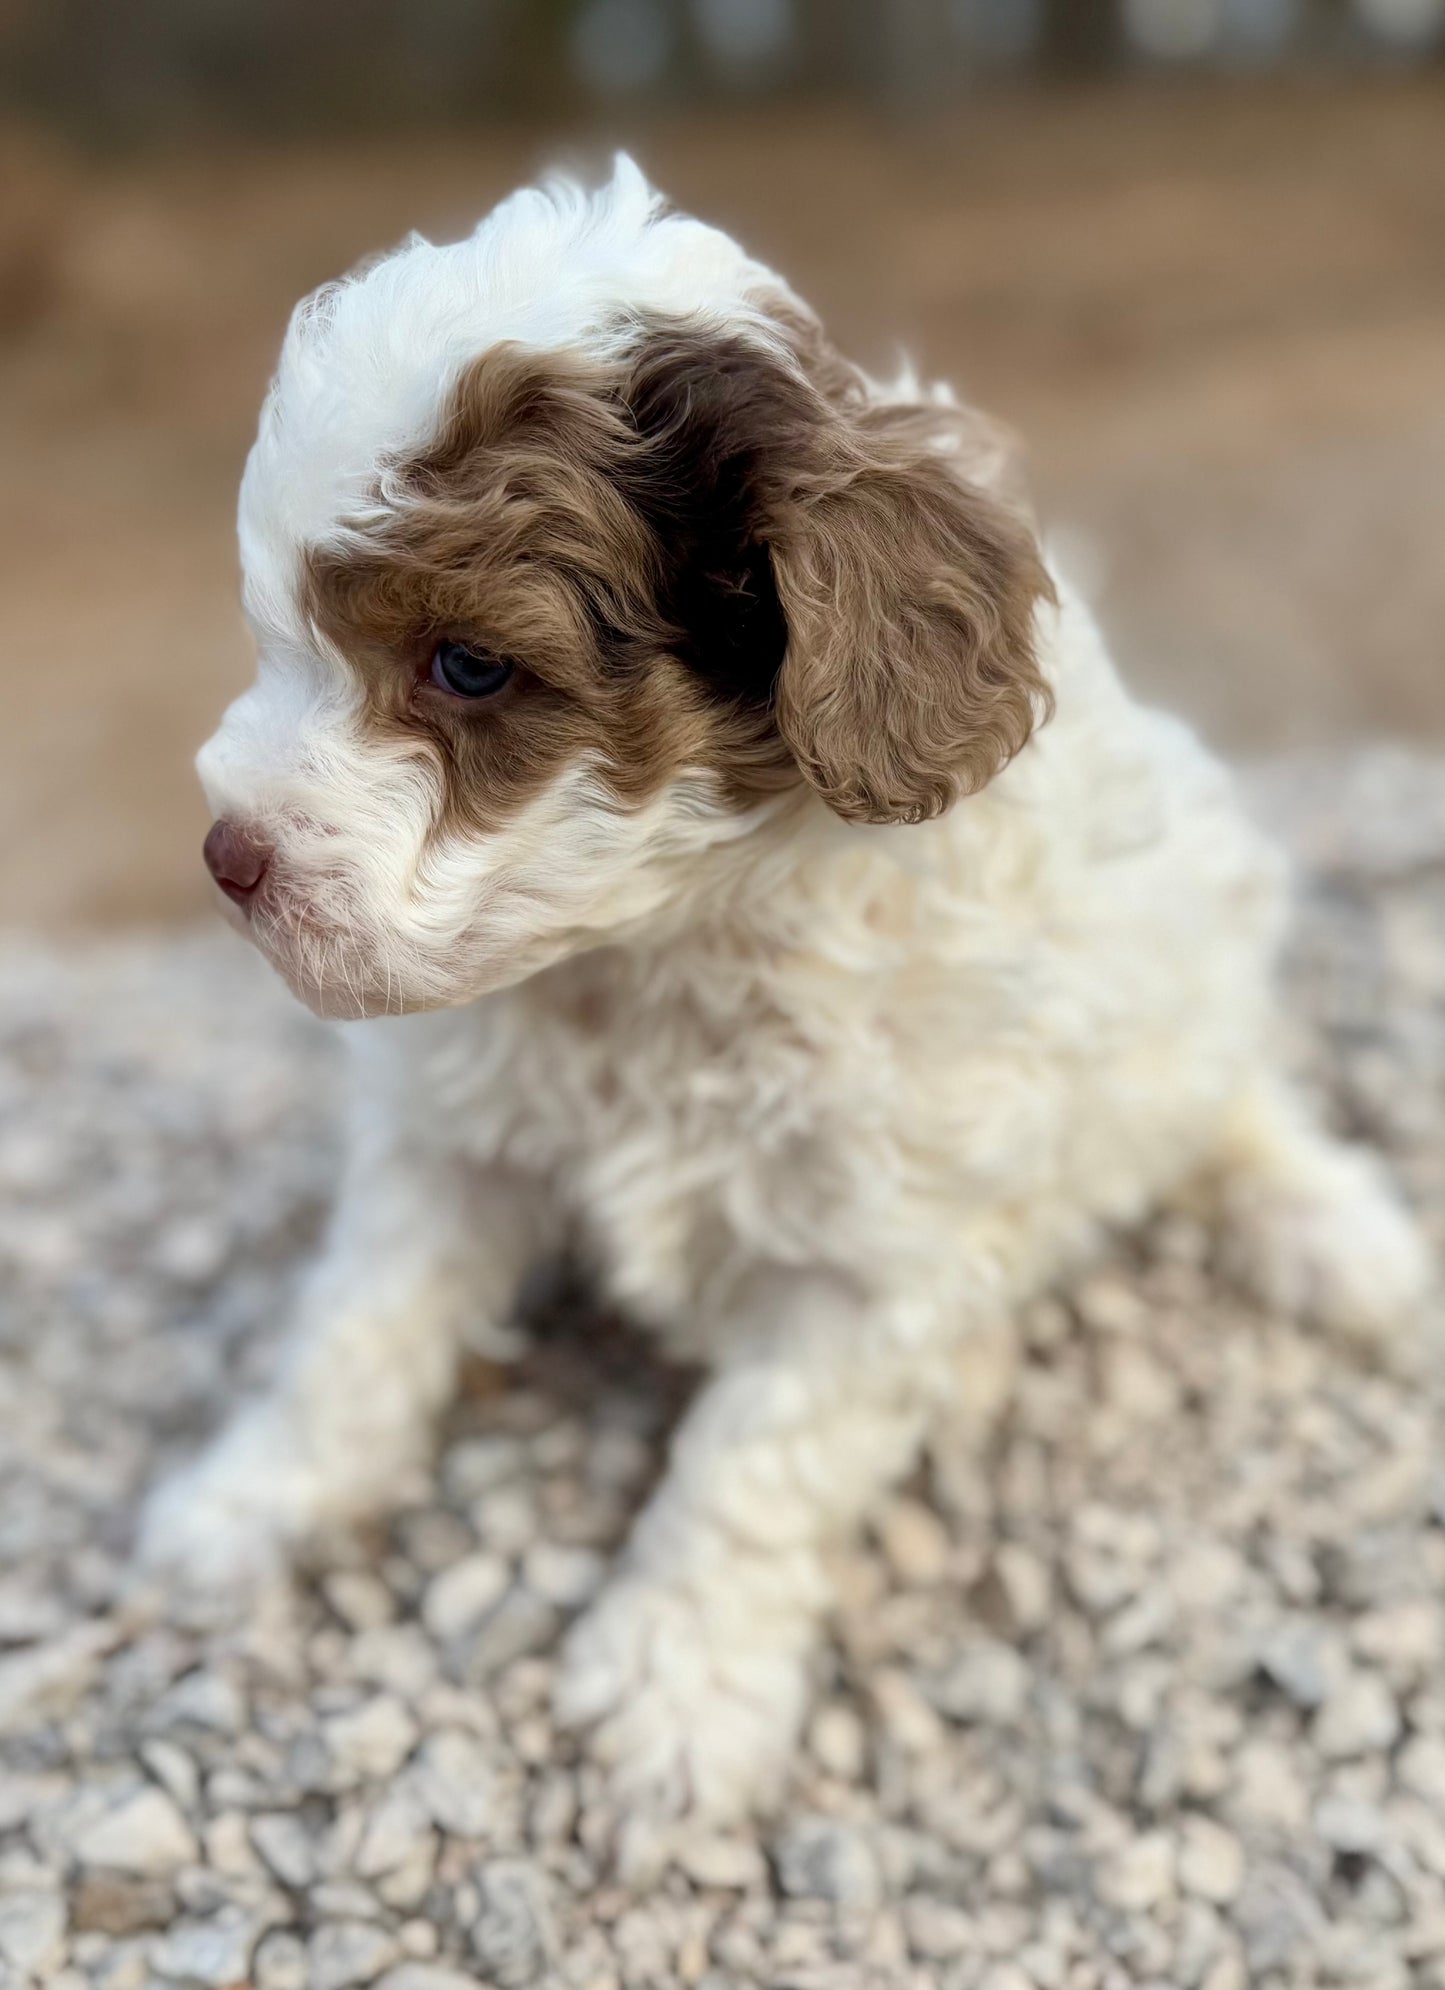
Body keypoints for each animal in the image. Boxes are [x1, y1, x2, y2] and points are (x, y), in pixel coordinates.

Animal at [141, 159, 1433, 1862]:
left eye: (469, 665)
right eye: (276, 634)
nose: (231, 857)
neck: (659, 952)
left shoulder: (869, 1261)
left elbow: (754, 1465)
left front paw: (677, 1689)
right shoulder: (452, 1139)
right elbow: (359, 1327)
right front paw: (256, 1496)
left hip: (1186, 958)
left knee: (1217, 1099)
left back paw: (1338, 1236)